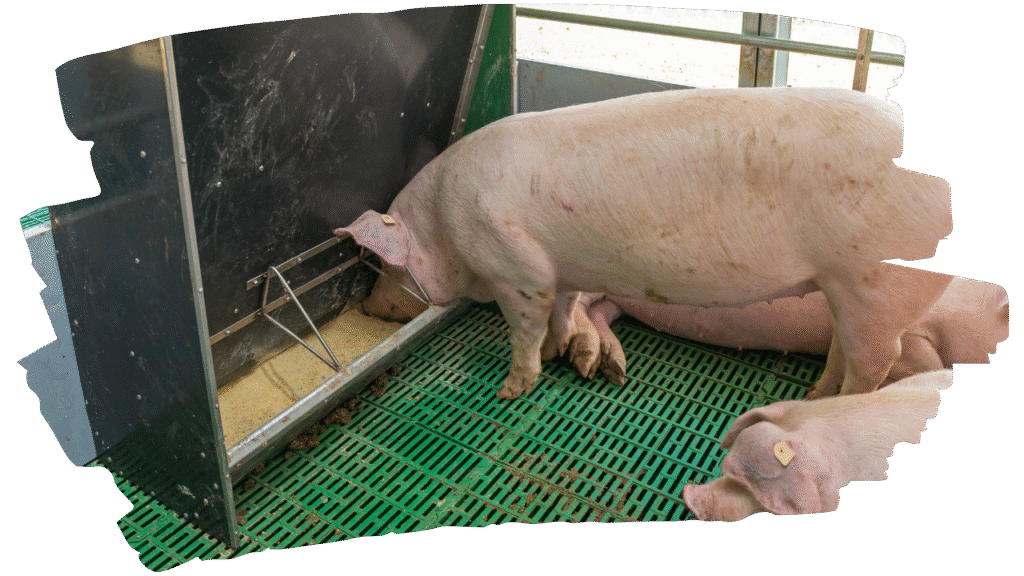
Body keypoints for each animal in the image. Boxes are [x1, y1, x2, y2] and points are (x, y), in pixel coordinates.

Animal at [335, 87, 952, 401]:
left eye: (379, 263)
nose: (370, 308)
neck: (444, 222)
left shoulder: (518, 269)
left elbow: (525, 329)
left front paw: (514, 389)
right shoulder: (561, 271)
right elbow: (564, 310)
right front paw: (563, 355)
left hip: (879, 281)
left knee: (877, 360)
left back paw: (829, 407)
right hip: (845, 287)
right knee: (845, 349)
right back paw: (811, 398)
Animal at [543, 270, 1007, 397]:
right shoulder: (912, 334)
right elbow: (923, 360)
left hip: (619, 299)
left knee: (599, 310)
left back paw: (613, 368)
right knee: (576, 306)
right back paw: (581, 357)